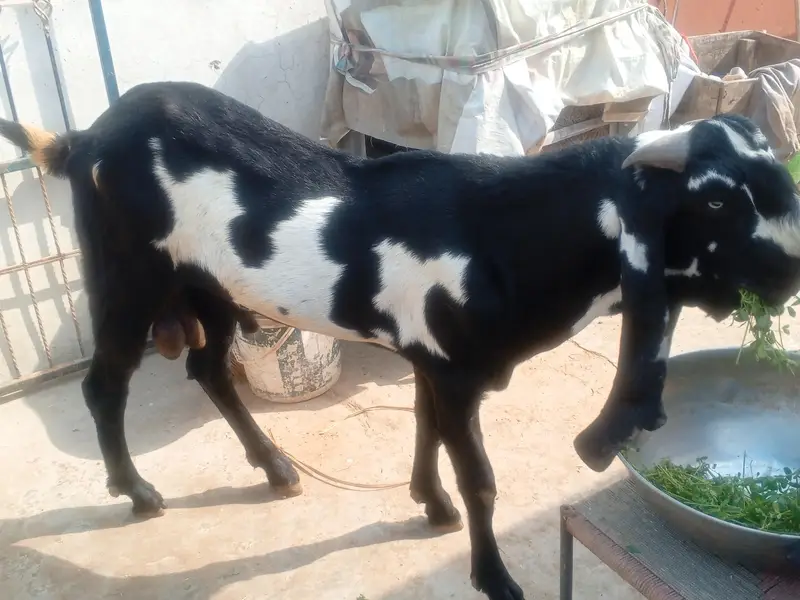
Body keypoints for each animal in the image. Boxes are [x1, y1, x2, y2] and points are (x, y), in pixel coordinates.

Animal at [2, 81, 800, 600]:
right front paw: (494, 576)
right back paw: (138, 492)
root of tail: (81, 138)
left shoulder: (429, 361)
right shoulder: (454, 371)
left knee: (209, 368)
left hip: (209, 286)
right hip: (125, 276)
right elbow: (480, 476)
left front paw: (431, 504)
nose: (791, 270)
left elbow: (422, 428)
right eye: (718, 199)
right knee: (105, 383)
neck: (507, 233)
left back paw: (276, 469)